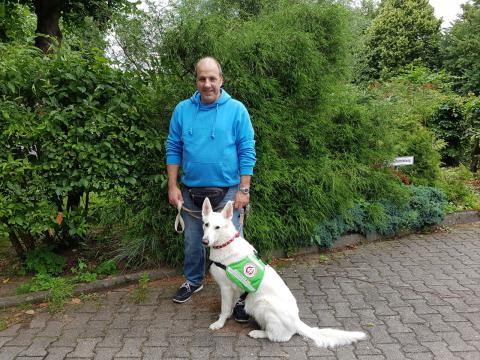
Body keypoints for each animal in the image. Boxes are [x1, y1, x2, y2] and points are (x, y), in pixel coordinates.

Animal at [201, 198, 366, 348]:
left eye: (217, 227)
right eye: (206, 224)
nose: (204, 241)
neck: (225, 243)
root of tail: (297, 321)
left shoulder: (225, 288)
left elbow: (224, 309)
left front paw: (219, 323)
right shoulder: (234, 290)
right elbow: (230, 307)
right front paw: (228, 316)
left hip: (262, 305)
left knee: (279, 336)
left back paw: (259, 333)